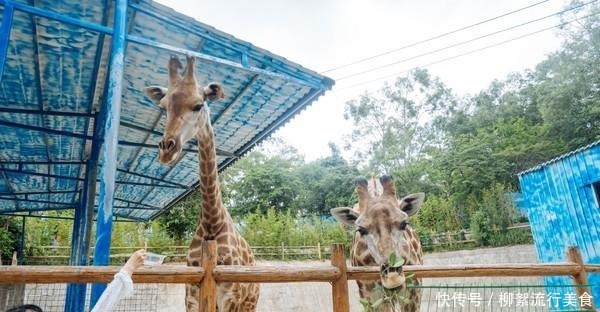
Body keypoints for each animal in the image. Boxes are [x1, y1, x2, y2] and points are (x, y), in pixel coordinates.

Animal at [146, 54, 258, 310]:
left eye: (198, 105)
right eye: (163, 108)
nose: (167, 150)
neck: (211, 224)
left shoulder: (230, 297)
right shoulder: (191, 295)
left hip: (250, 303)